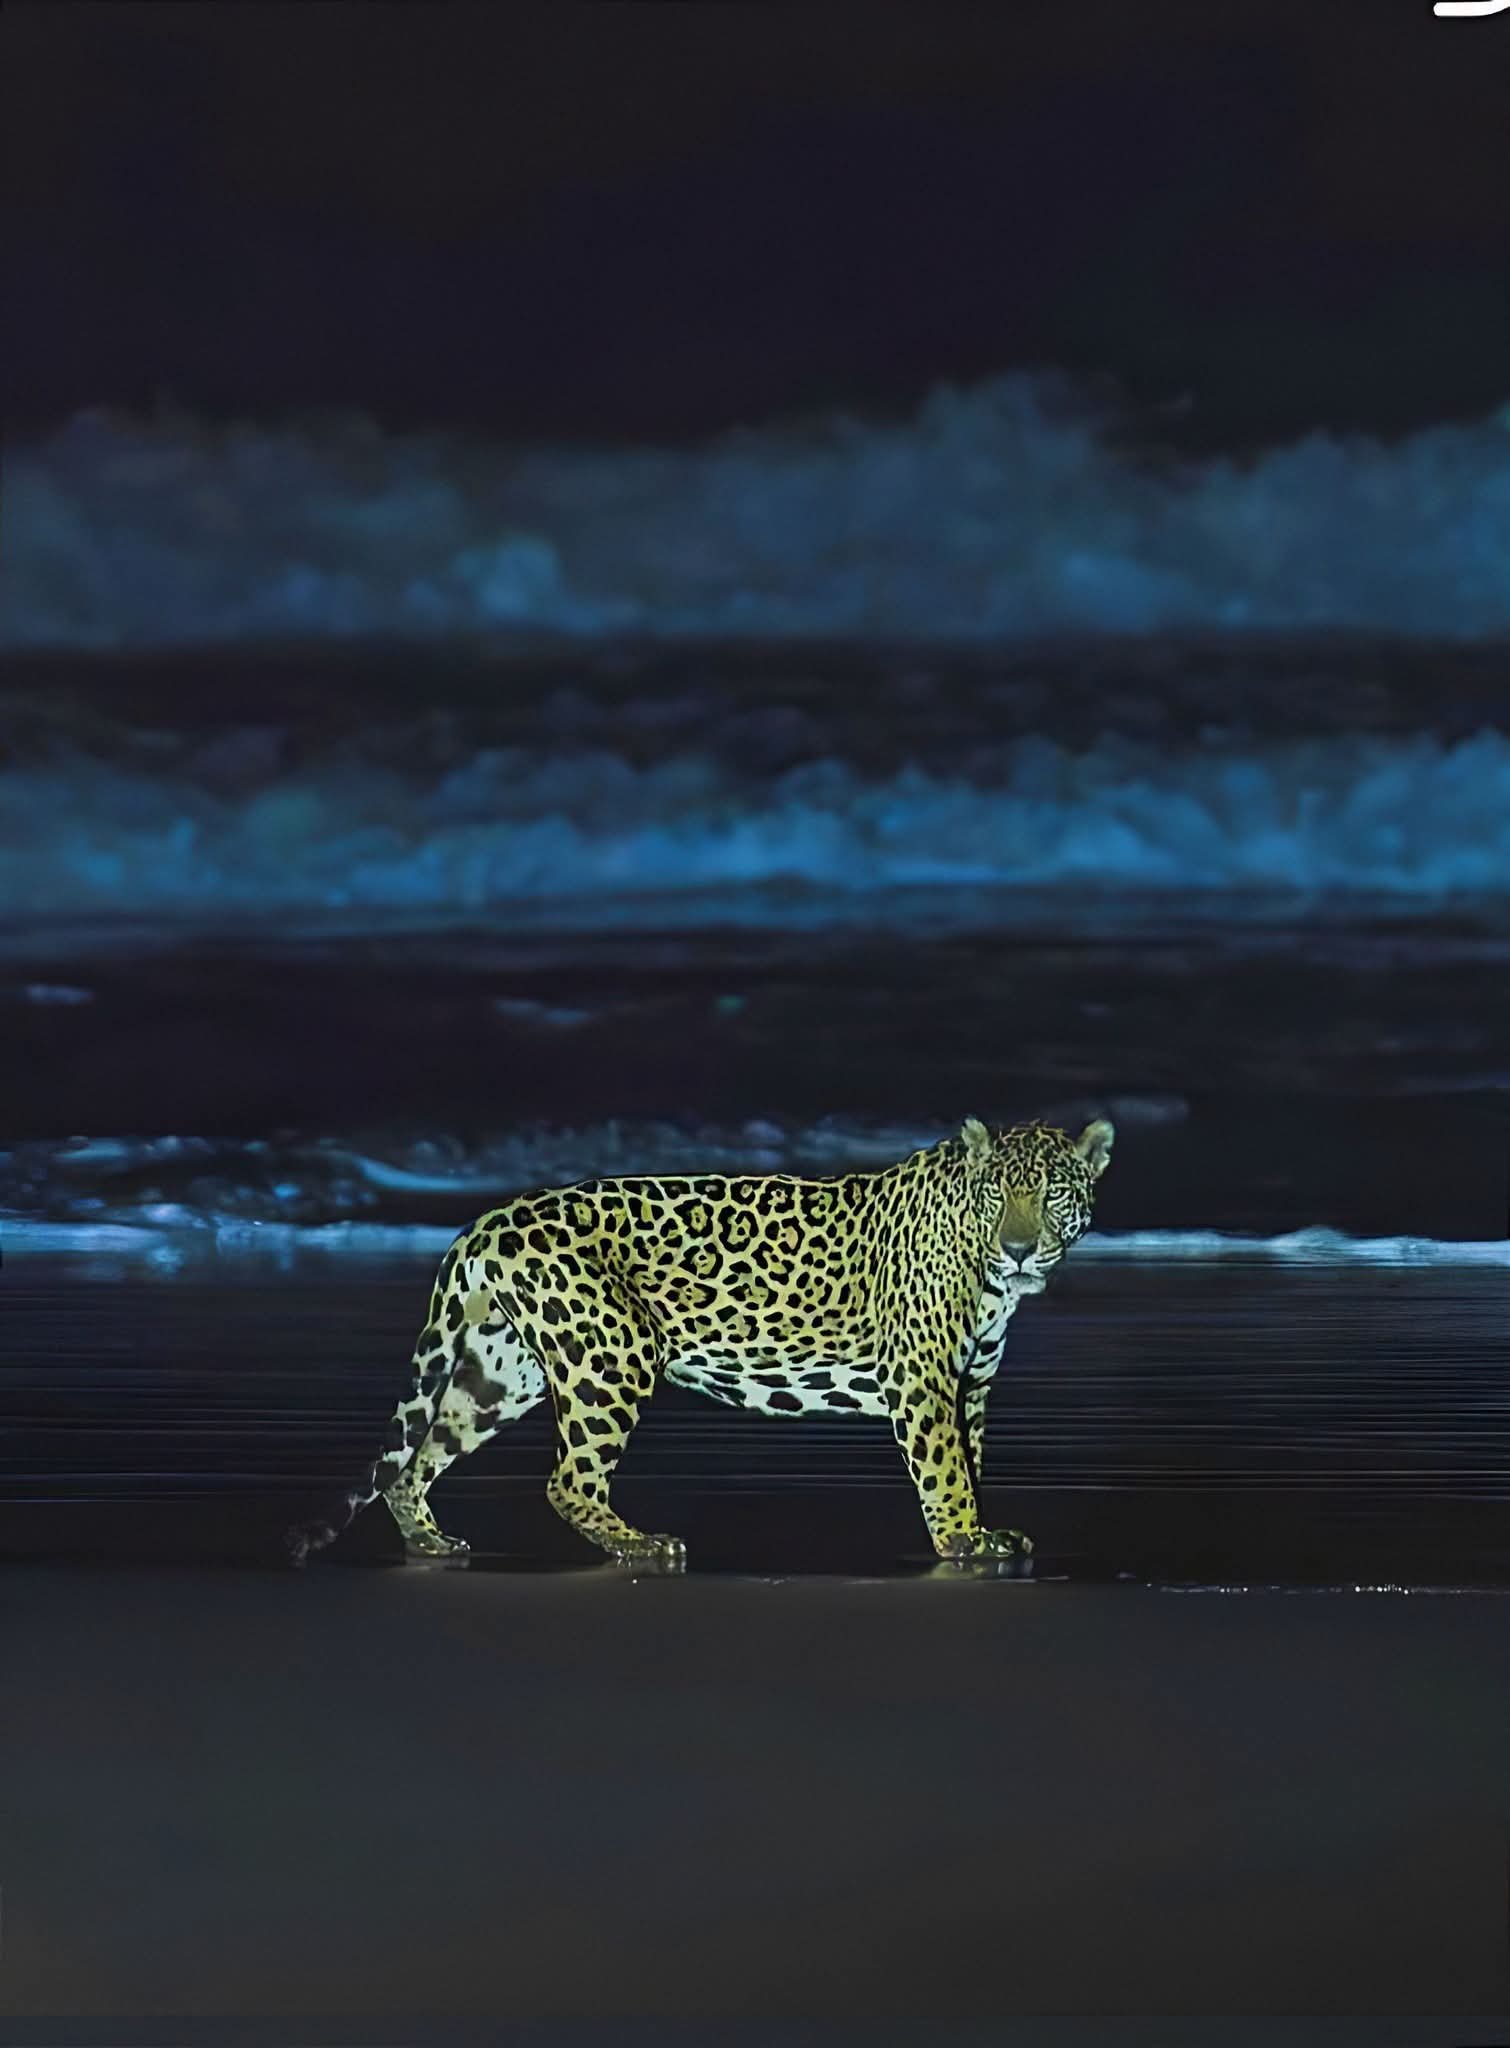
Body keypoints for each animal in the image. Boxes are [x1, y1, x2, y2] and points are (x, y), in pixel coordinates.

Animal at [285, 1115, 1113, 1572]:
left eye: (1053, 1194)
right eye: (998, 1195)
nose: (1017, 1249)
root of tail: (490, 1217)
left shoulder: (971, 1383)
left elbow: (969, 1462)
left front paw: (977, 1530)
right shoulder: (924, 1379)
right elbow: (944, 1471)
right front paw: (964, 1542)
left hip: (502, 1367)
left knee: (417, 1457)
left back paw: (429, 1541)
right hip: (610, 1353)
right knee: (568, 1479)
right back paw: (642, 1546)